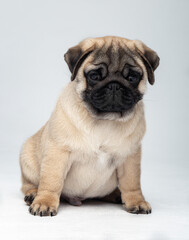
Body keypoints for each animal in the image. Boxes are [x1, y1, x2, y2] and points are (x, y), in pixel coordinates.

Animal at [19, 36, 159, 218]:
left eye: (132, 77)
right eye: (94, 76)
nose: (114, 85)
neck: (105, 119)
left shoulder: (130, 157)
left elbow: (132, 183)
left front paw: (136, 201)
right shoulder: (58, 153)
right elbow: (51, 181)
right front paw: (45, 202)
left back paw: (116, 195)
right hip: (27, 160)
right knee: (28, 184)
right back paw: (33, 194)